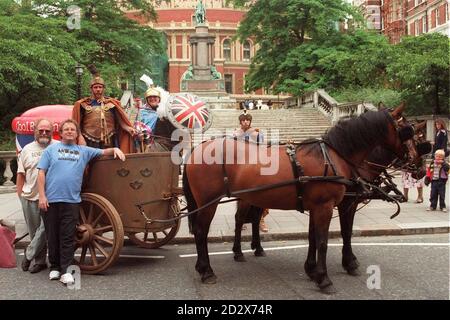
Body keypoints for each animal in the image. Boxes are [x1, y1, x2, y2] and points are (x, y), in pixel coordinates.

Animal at [181, 104, 416, 292]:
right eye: (408, 131)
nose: (415, 162)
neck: (333, 157)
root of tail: (197, 148)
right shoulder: (327, 206)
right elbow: (324, 241)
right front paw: (326, 278)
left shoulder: (316, 206)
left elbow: (313, 238)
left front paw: (312, 271)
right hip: (208, 203)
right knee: (201, 232)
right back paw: (207, 271)